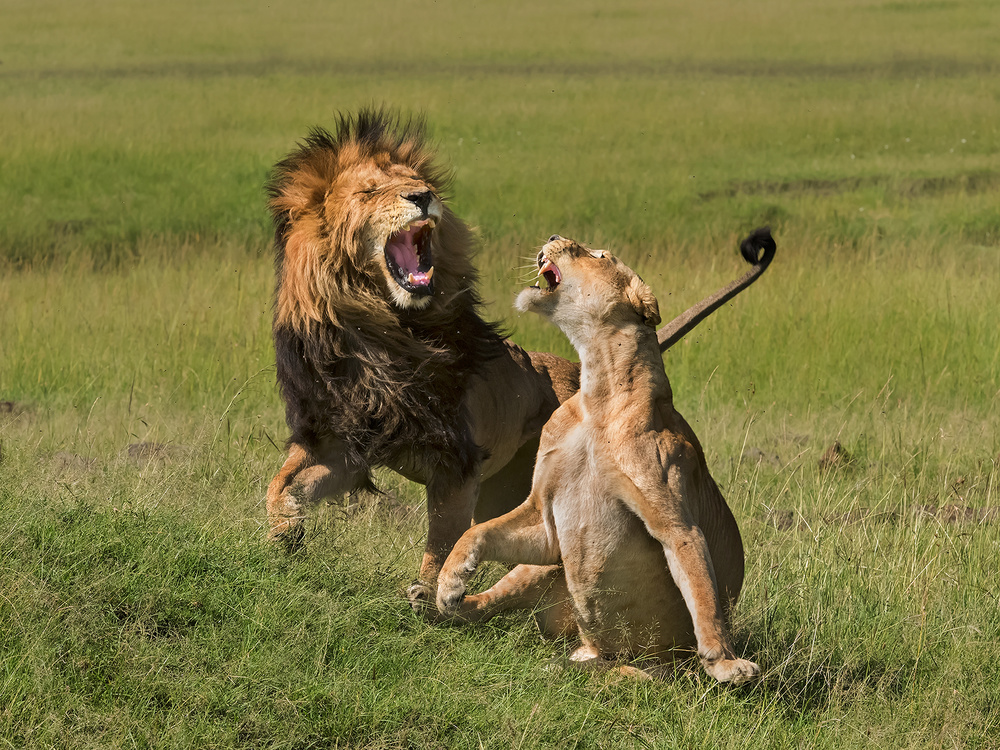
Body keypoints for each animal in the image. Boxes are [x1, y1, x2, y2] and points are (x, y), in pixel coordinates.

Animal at [264, 107, 775, 606]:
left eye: (418, 181)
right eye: (369, 191)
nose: (424, 196)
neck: (384, 337)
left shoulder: (458, 464)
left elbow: (442, 538)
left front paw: (427, 595)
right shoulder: (339, 441)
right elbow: (280, 485)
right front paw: (285, 536)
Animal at [436, 235, 760, 683]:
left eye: (599, 255)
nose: (553, 237)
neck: (598, 395)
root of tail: (586, 647)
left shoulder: (675, 519)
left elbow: (701, 589)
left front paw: (725, 662)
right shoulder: (544, 518)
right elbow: (475, 532)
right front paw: (449, 581)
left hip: (653, 663)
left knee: (635, 671)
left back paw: (593, 671)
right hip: (543, 569)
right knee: (494, 603)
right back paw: (434, 603)